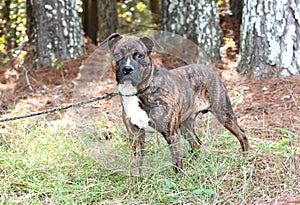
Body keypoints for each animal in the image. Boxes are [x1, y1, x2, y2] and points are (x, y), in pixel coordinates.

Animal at [99, 33, 250, 176]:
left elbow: (176, 161)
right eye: (117, 55)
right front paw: (135, 183)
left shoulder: (171, 133)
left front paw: (178, 180)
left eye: (139, 55)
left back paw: (246, 157)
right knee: (196, 143)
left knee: (241, 134)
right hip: (185, 125)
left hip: (223, 113)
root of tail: (210, 70)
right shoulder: (135, 136)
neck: (140, 92)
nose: (127, 69)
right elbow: (136, 164)